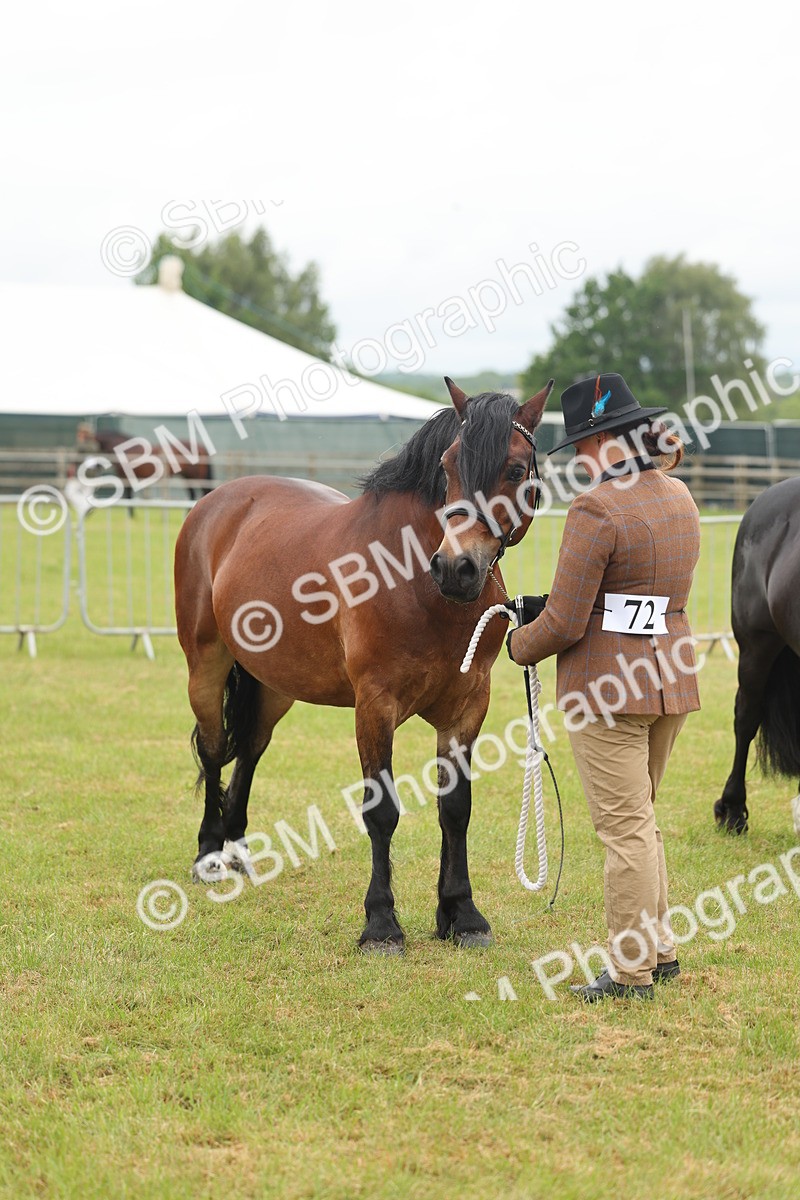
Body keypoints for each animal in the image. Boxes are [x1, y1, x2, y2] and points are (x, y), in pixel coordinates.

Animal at [76, 424, 214, 504]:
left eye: (87, 447)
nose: (91, 470)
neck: (127, 450)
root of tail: (201, 447)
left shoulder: (126, 477)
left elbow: (128, 497)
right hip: (187, 477)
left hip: (194, 477)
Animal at [174, 377, 553, 952]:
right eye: (447, 466)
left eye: (514, 470)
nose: (456, 569)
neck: (415, 584)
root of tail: (216, 503)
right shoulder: (375, 704)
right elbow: (382, 811)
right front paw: (381, 923)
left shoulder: (468, 705)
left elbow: (455, 808)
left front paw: (461, 915)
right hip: (206, 667)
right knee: (216, 750)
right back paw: (210, 855)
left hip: (274, 686)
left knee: (251, 751)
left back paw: (238, 850)